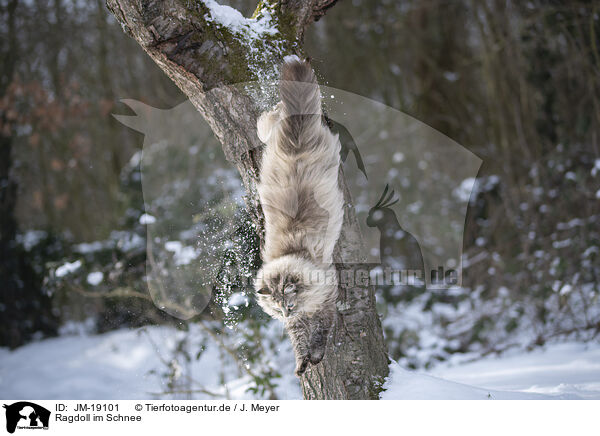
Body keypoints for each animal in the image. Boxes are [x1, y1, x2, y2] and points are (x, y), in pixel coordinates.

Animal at [253, 57, 344, 378]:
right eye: (278, 308)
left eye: (288, 305)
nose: (285, 313)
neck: (293, 254)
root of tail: (296, 131)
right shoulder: (300, 321)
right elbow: (300, 340)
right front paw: (301, 362)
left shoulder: (325, 299)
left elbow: (319, 334)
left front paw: (314, 357)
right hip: (269, 132)